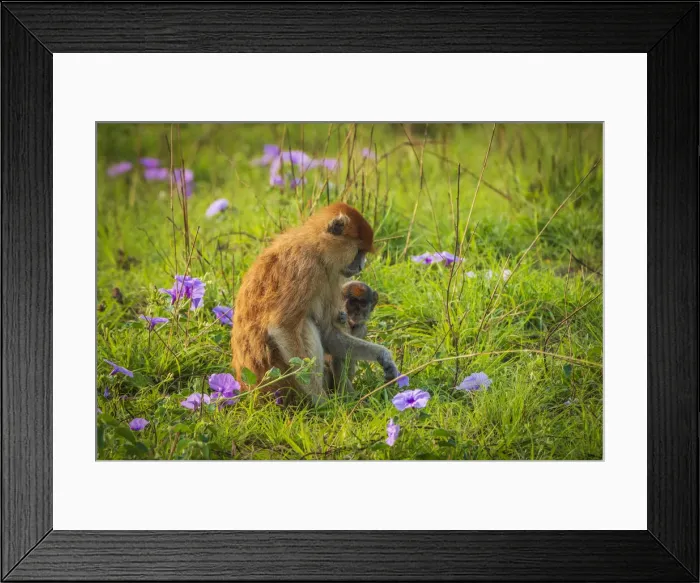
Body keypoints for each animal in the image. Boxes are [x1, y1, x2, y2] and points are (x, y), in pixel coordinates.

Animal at [231, 202, 399, 406]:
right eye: (358, 251)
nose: (361, 266)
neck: (316, 246)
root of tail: (250, 391)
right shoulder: (305, 268)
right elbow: (282, 328)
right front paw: (321, 402)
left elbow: (328, 333)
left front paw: (384, 357)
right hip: (279, 379)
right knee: (304, 325)